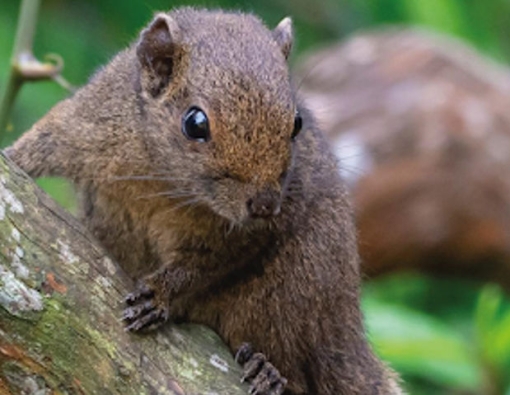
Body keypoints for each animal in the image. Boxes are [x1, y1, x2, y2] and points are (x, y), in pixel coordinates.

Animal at [3, 6, 402, 395]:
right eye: (195, 123)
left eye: (297, 123)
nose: (264, 205)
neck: (162, 178)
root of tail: (344, 332)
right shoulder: (84, 122)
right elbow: (42, 140)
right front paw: (11, 158)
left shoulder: (242, 237)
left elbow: (204, 265)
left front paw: (159, 294)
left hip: (293, 295)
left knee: (295, 367)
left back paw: (267, 371)